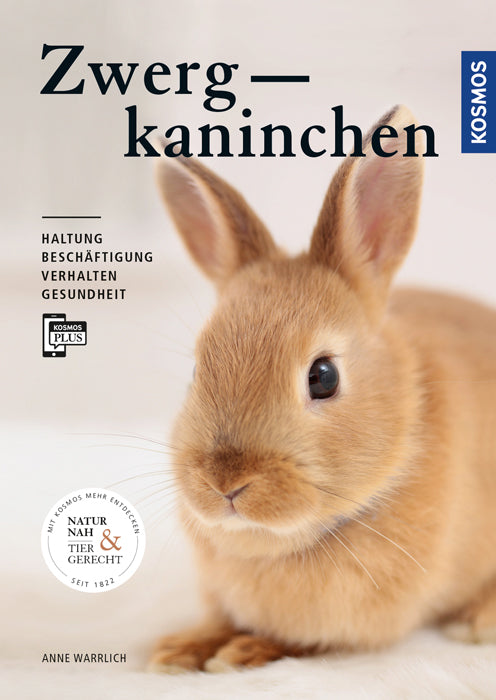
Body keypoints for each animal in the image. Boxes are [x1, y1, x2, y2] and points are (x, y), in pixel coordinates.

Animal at [148, 106, 496, 673]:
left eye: (323, 376)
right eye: (197, 369)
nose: (226, 483)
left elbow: (302, 641)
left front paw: (240, 651)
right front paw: (182, 648)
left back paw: (479, 621)